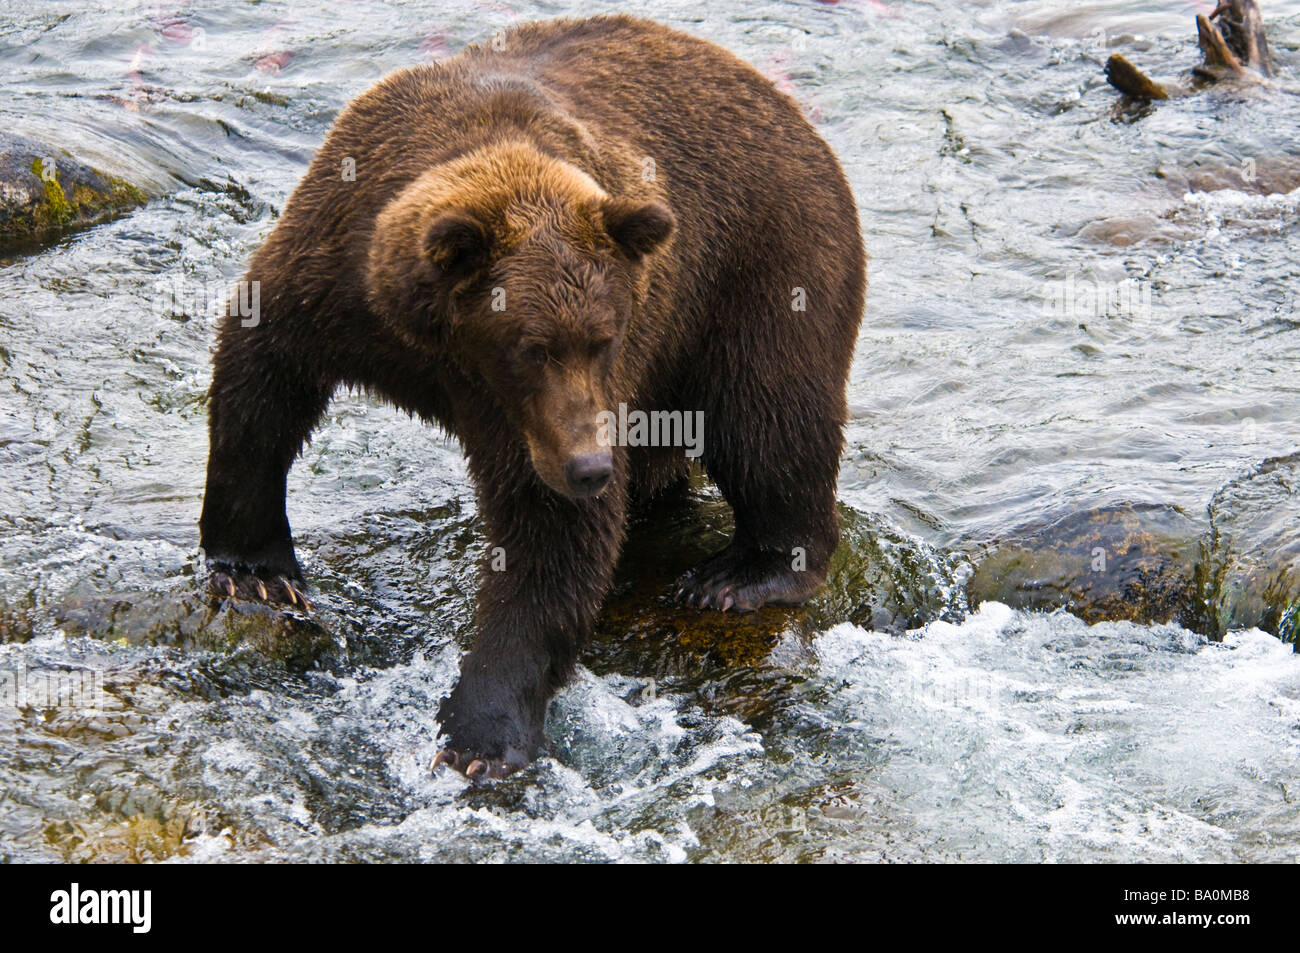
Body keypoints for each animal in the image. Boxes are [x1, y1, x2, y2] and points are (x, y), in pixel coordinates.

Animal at [200, 16, 863, 780]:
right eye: (531, 346)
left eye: (604, 337)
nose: (591, 468)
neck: (438, 349)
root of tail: (787, 108)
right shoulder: (332, 283)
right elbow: (262, 379)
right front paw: (255, 572)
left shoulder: (553, 403)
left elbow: (550, 538)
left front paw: (480, 735)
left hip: (762, 265)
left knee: (769, 419)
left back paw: (742, 573)